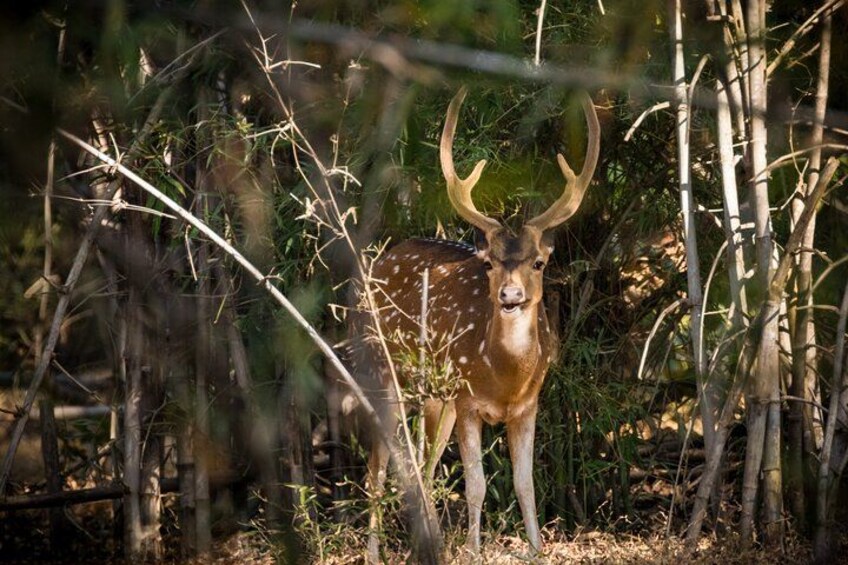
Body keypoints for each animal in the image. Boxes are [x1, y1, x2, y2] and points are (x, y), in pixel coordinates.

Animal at [351, 86, 600, 560]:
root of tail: (382, 260)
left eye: (539, 262)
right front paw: (473, 550)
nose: (510, 297)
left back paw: (425, 542)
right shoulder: (468, 401)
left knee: (423, 464)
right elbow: (478, 485)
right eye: (488, 264)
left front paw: (536, 549)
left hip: (436, 395)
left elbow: (525, 484)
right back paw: (374, 552)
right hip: (383, 365)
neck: (505, 378)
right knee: (379, 462)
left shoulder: (528, 404)